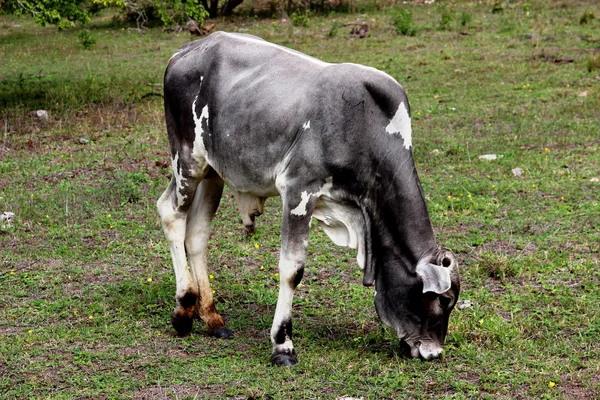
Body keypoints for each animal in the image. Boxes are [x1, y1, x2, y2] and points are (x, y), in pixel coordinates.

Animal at [157, 32, 462, 368]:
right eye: (444, 299)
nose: (434, 352)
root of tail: (185, 50)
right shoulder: (299, 190)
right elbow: (293, 269)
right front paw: (282, 345)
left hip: (213, 171)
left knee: (197, 234)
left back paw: (212, 318)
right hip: (187, 160)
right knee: (170, 213)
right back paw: (183, 310)